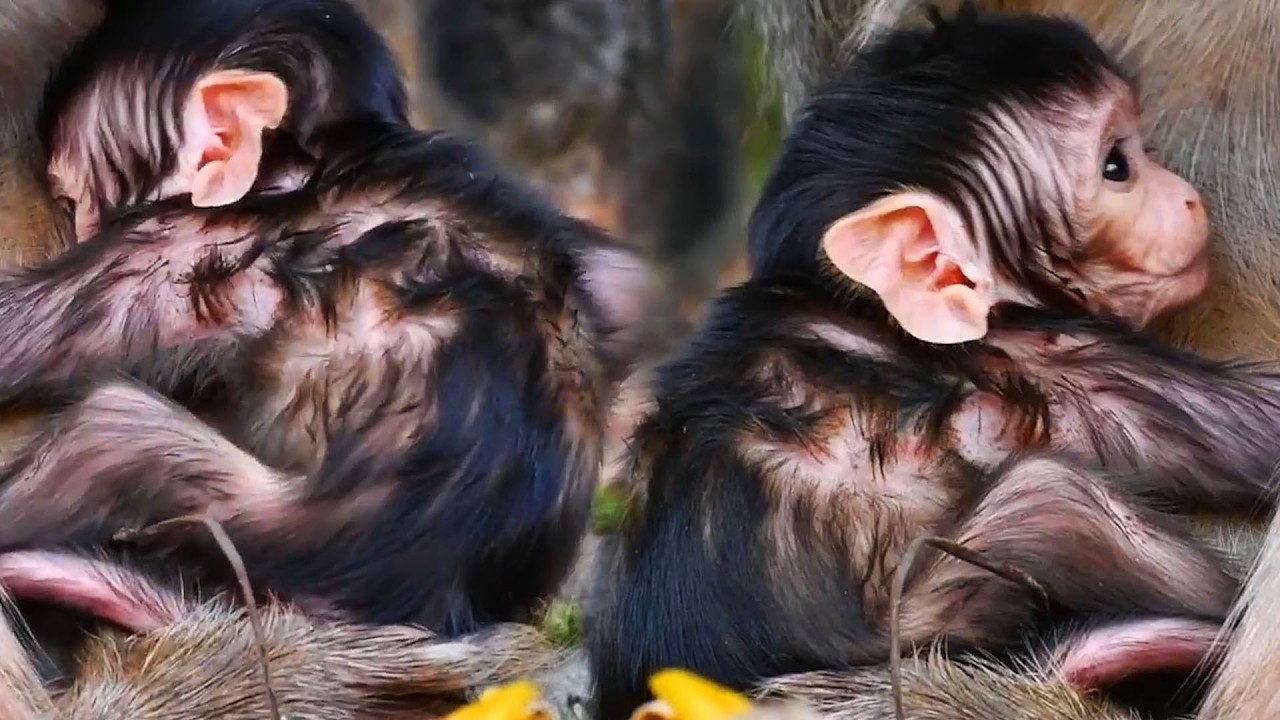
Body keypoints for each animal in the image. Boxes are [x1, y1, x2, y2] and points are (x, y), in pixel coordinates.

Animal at [0, 0, 653, 637]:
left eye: (73, 199)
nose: (79, 226)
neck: (316, 159)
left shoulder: (180, 242)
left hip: (274, 534)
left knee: (112, 430)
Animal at [584, 7, 1280, 718]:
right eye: (1118, 166)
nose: (1188, 199)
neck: (863, 305)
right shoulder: (1046, 352)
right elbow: (1252, 429)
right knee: (1053, 502)